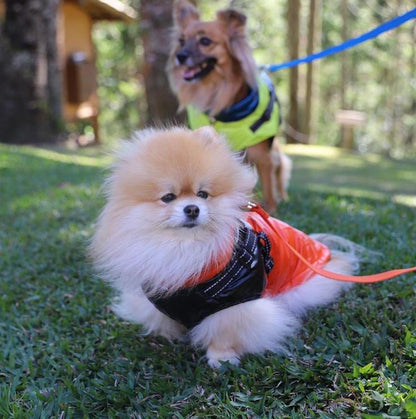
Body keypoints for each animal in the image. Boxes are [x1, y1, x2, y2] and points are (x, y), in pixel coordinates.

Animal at [90, 127, 360, 368]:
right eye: (168, 197)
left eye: (203, 194)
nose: (192, 208)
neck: (185, 248)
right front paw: (166, 337)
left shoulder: (233, 305)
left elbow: (225, 334)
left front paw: (222, 358)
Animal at [167, 0, 290, 213]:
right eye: (182, 41)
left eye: (205, 41)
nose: (180, 56)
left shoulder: (260, 154)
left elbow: (267, 185)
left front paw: (270, 208)